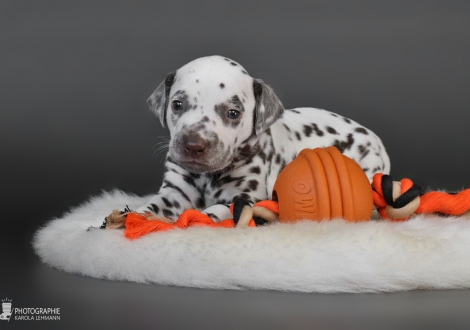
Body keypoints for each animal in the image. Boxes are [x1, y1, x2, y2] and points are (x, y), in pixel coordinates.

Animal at [136, 56, 390, 222]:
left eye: (233, 113)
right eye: (177, 105)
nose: (193, 145)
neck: (208, 177)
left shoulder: (247, 198)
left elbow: (217, 210)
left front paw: (200, 218)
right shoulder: (175, 192)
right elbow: (155, 205)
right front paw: (135, 217)